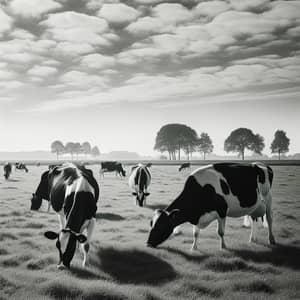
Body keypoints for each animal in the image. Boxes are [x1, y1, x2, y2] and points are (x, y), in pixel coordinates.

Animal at [146, 162, 276, 251]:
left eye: (162, 225)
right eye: (151, 223)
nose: (148, 243)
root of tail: (261, 164)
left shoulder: (222, 211)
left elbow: (220, 232)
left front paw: (223, 247)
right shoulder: (197, 216)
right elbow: (195, 233)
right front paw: (194, 248)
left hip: (268, 197)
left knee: (269, 219)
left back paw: (271, 240)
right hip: (255, 205)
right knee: (254, 220)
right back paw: (252, 239)